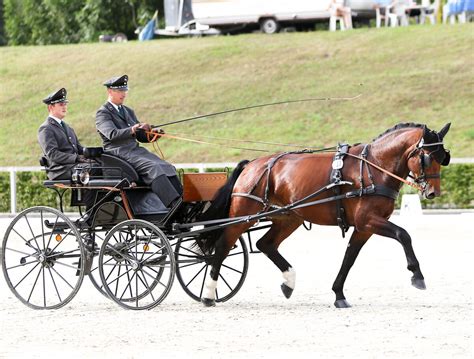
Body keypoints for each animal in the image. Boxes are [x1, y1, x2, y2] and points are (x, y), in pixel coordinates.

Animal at [198, 122, 450, 308]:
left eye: (444, 158)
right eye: (427, 157)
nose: (433, 193)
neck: (374, 167)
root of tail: (252, 165)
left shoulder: (363, 227)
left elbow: (349, 258)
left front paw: (339, 294)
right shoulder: (368, 220)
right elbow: (403, 234)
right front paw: (417, 275)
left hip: (289, 218)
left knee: (265, 244)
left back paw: (289, 282)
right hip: (243, 217)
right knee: (222, 247)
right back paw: (209, 295)